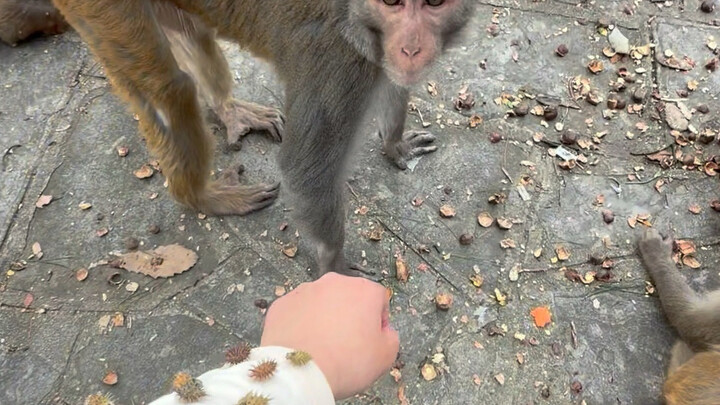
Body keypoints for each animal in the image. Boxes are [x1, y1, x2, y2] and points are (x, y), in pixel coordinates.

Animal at [50, 0, 474, 275]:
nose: (413, 43)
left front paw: (394, 143)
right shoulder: (337, 60)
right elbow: (304, 168)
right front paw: (335, 268)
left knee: (193, 33)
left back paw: (229, 111)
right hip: (101, 8)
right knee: (170, 90)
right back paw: (199, 196)